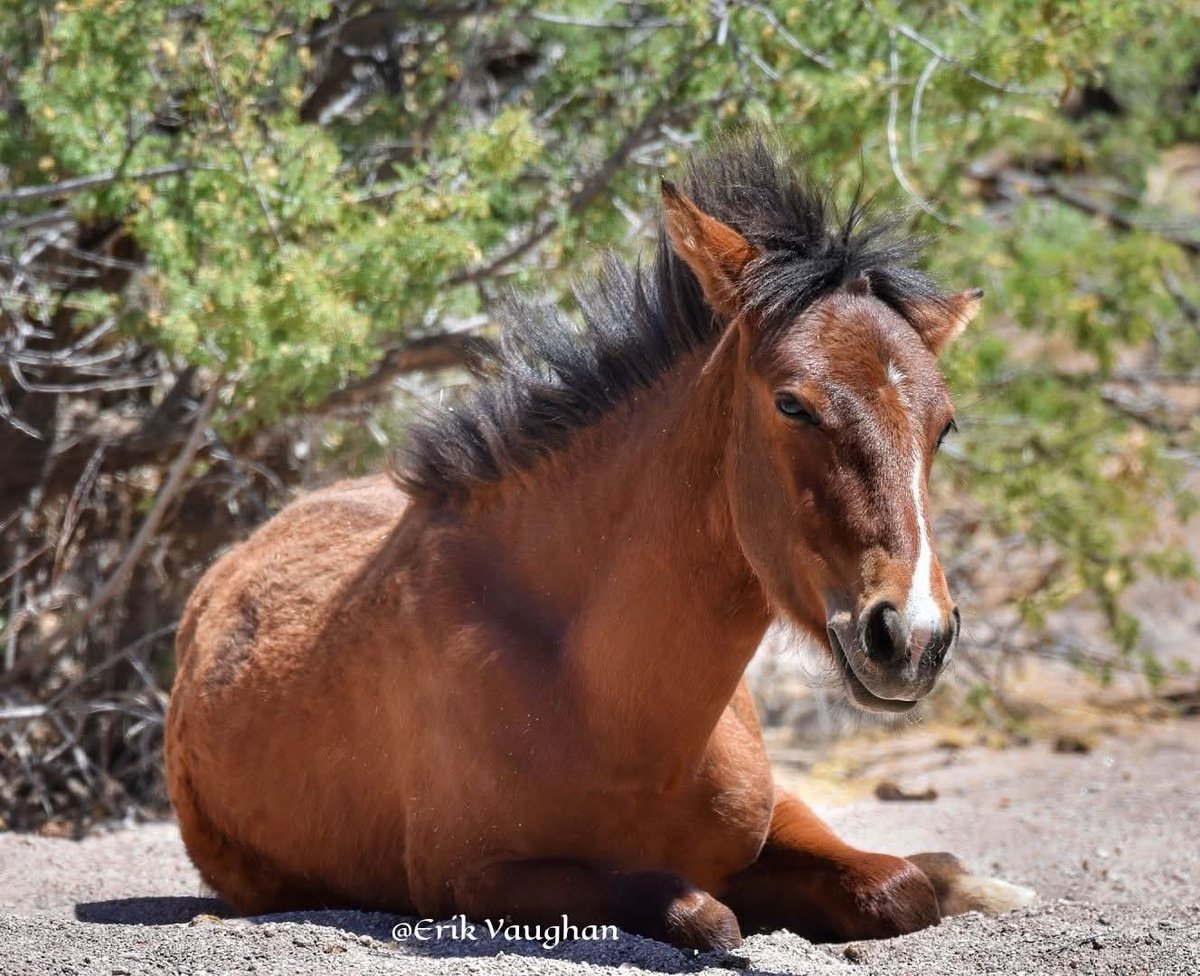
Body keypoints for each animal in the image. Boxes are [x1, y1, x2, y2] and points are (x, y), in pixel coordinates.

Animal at [165, 136, 1034, 951]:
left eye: (943, 426)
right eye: (792, 403)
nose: (912, 637)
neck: (605, 702)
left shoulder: (775, 811)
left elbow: (896, 888)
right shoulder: (474, 878)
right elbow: (699, 910)